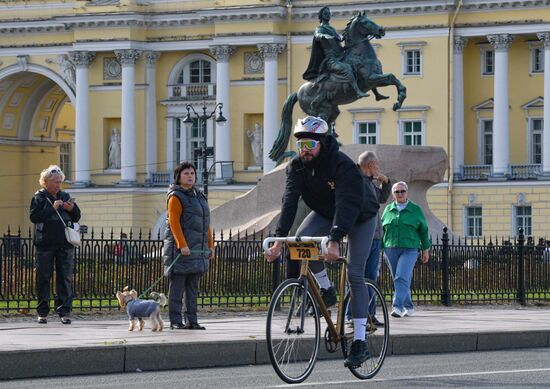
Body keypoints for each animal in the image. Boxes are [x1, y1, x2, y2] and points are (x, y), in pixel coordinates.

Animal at [270, 12, 408, 162]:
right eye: (365, 22)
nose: (381, 30)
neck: (359, 53)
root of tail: (298, 92)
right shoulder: (370, 79)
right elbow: (391, 77)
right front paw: (399, 99)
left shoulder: (375, 80)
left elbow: (392, 78)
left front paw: (396, 100)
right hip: (320, 109)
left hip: (332, 109)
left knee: (328, 124)